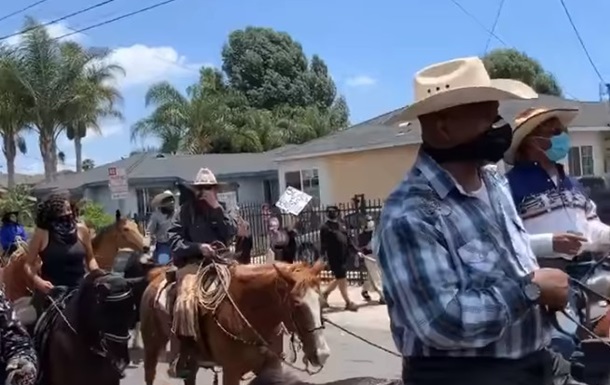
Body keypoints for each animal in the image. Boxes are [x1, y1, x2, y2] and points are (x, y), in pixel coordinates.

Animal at [139, 255, 328, 384]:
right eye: (296, 304)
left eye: (321, 301)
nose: (323, 354)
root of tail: (156, 276)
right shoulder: (231, 372)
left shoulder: (271, 366)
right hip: (151, 347)